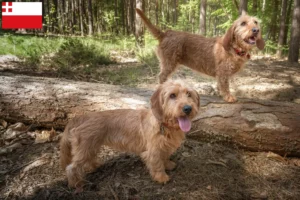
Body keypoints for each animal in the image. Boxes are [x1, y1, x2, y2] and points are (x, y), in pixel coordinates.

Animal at [60, 81, 199, 192]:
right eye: (172, 95)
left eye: (189, 94)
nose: (188, 108)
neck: (165, 124)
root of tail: (81, 117)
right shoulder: (152, 151)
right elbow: (157, 164)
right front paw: (161, 177)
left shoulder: (163, 148)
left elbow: (164, 157)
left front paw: (168, 164)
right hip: (85, 148)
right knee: (71, 168)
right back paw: (77, 184)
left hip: (91, 147)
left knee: (88, 160)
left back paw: (94, 166)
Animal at [136, 8, 264, 102]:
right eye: (243, 23)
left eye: (256, 22)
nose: (256, 30)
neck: (234, 48)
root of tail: (165, 33)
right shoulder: (223, 73)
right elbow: (225, 85)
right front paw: (228, 97)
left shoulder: (221, 75)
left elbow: (219, 85)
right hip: (169, 63)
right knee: (161, 77)